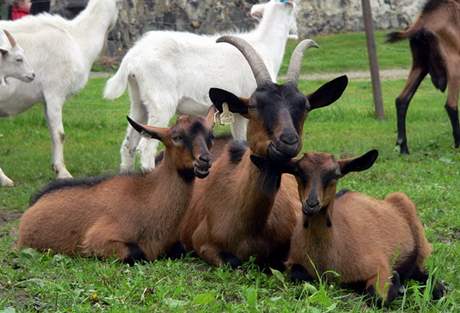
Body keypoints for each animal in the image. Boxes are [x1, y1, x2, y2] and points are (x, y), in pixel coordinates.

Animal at [18, 109, 217, 264]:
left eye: (211, 136)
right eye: (177, 137)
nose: (204, 161)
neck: (147, 199)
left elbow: (180, 249)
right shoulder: (98, 240)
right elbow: (137, 253)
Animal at [284, 150, 446, 304]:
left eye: (335, 175)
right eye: (298, 171)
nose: (311, 204)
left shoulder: (379, 267)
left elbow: (378, 297)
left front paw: (397, 283)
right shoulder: (294, 261)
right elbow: (297, 275)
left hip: (416, 234)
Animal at [388, 0, 460, 152]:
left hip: (419, 65)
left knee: (401, 99)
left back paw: (403, 148)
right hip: (454, 64)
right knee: (451, 105)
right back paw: (458, 144)